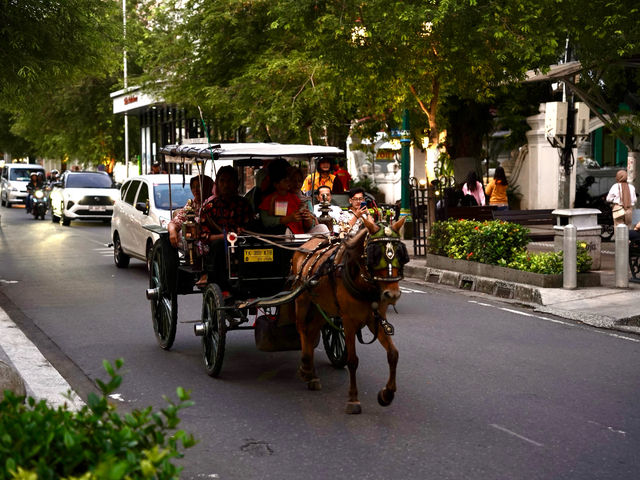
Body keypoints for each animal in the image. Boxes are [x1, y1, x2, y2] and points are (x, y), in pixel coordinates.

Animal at [292, 215, 410, 412]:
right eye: (375, 255)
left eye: (400, 254)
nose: (392, 294)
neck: (364, 284)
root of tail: (307, 244)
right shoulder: (348, 321)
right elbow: (352, 360)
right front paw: (353, 399)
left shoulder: (375, 319)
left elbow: (393, 354)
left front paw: (387, 394)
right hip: (302, 300)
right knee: (302, 328)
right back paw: (305, 366)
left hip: (321, 307)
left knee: (312, 331)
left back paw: (312, 375)